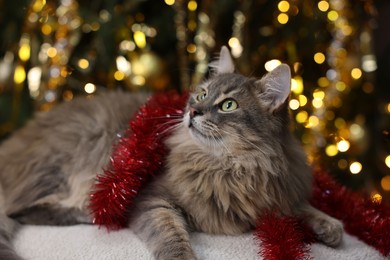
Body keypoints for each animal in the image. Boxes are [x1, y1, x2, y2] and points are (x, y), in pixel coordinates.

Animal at [0, 47, 342, 260]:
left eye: (228, 105)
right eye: (202, 94)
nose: (192, 111)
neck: (232, 168)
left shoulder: (277, 191)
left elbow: (303, 207)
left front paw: (330, 226)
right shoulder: (153, 200)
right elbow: (171, 235)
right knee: (22, 211)